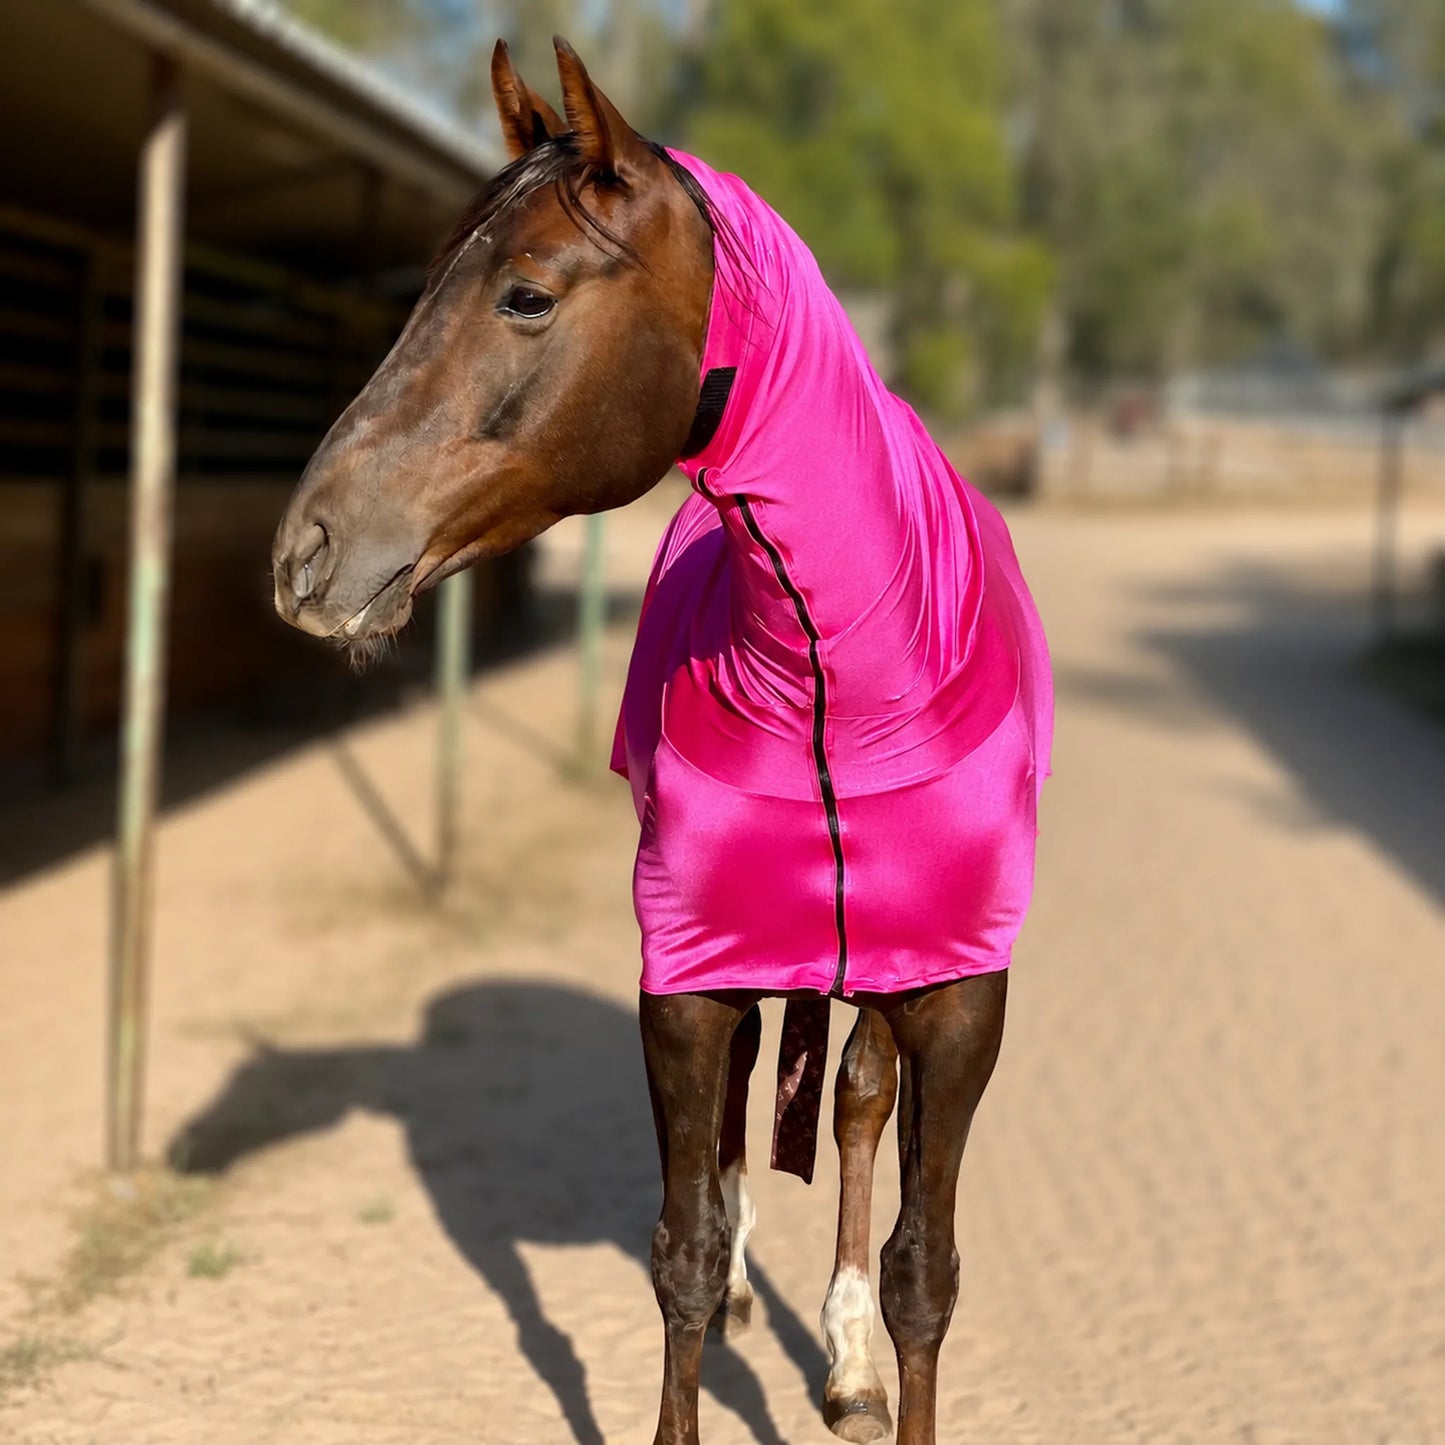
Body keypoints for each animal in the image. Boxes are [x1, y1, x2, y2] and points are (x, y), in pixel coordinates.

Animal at [271, 37, 1052, 1445]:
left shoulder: (960, 991)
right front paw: (718, 1280)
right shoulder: (683, 974)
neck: (838, 677)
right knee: (753, 1103)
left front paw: (870, 1347)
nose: (305, 548)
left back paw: (844, 1359)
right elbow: (680, 1244)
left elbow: (924, 1266)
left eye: (526, 293)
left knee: (854, 1100)